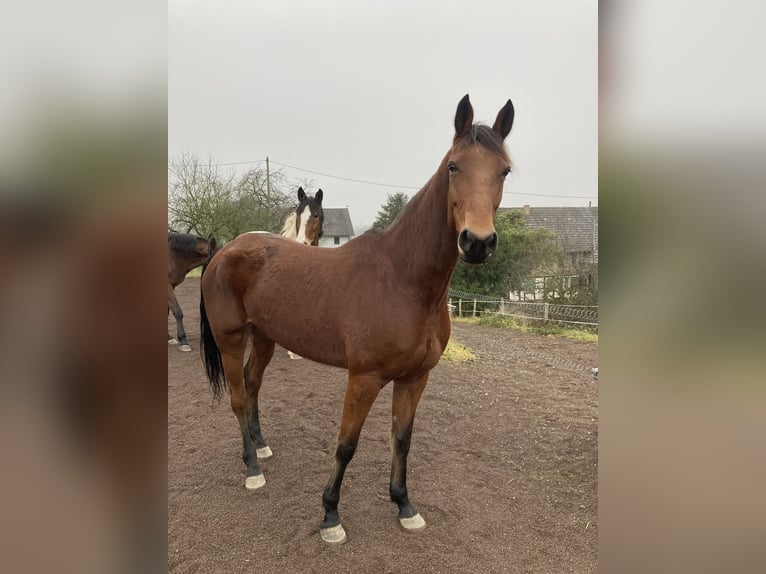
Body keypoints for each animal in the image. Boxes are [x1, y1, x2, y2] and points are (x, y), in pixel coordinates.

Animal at [199, 94, 515, 544]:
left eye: (503, 170)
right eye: (454, 166)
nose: (478, 242)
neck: (402, 279)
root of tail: (224, 251)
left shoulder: (415, 378)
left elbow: (402, 439)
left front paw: (404, 505)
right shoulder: (363, 378)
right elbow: (346, 444)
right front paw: (331, 515)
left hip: (264, 336)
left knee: (253, 384)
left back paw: (260, 446)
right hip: (230, 337)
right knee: (239, 396)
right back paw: (253, 469)